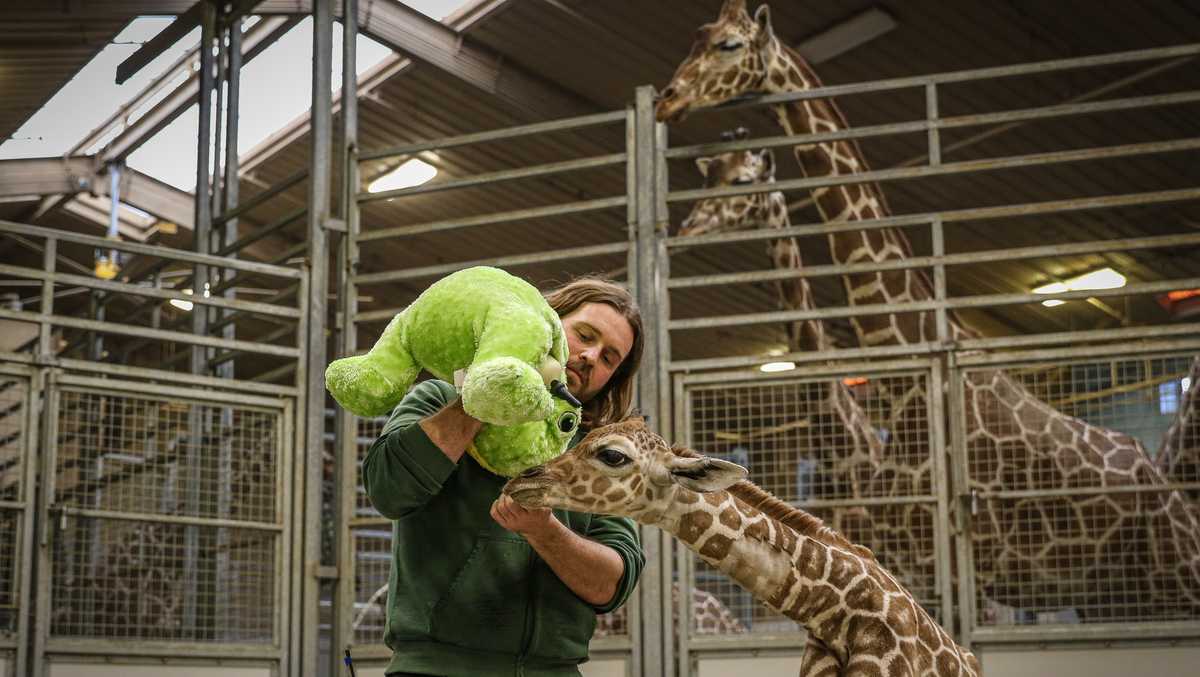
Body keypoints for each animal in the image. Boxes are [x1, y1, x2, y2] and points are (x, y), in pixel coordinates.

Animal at [657, 0, 1200, 622]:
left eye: (728, 44)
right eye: (698, 35)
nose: (666, 98)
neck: (903, 384)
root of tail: (1164, 486)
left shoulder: (964, 569)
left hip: (1167, 578)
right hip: (1109, 596)